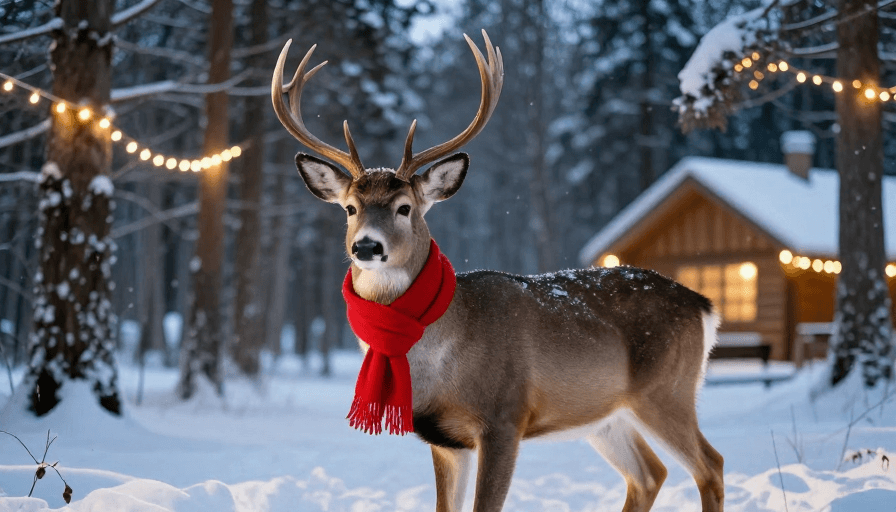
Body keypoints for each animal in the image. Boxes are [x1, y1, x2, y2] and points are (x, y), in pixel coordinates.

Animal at [272, 30, 725, 512]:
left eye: (404, 208)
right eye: (350, 209)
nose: (366, 246)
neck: (442, 353)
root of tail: (702, 304)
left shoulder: (505, 417)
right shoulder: (446, 439)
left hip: (666, 390)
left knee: (709, 465)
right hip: (605, 415)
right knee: (649, 473)